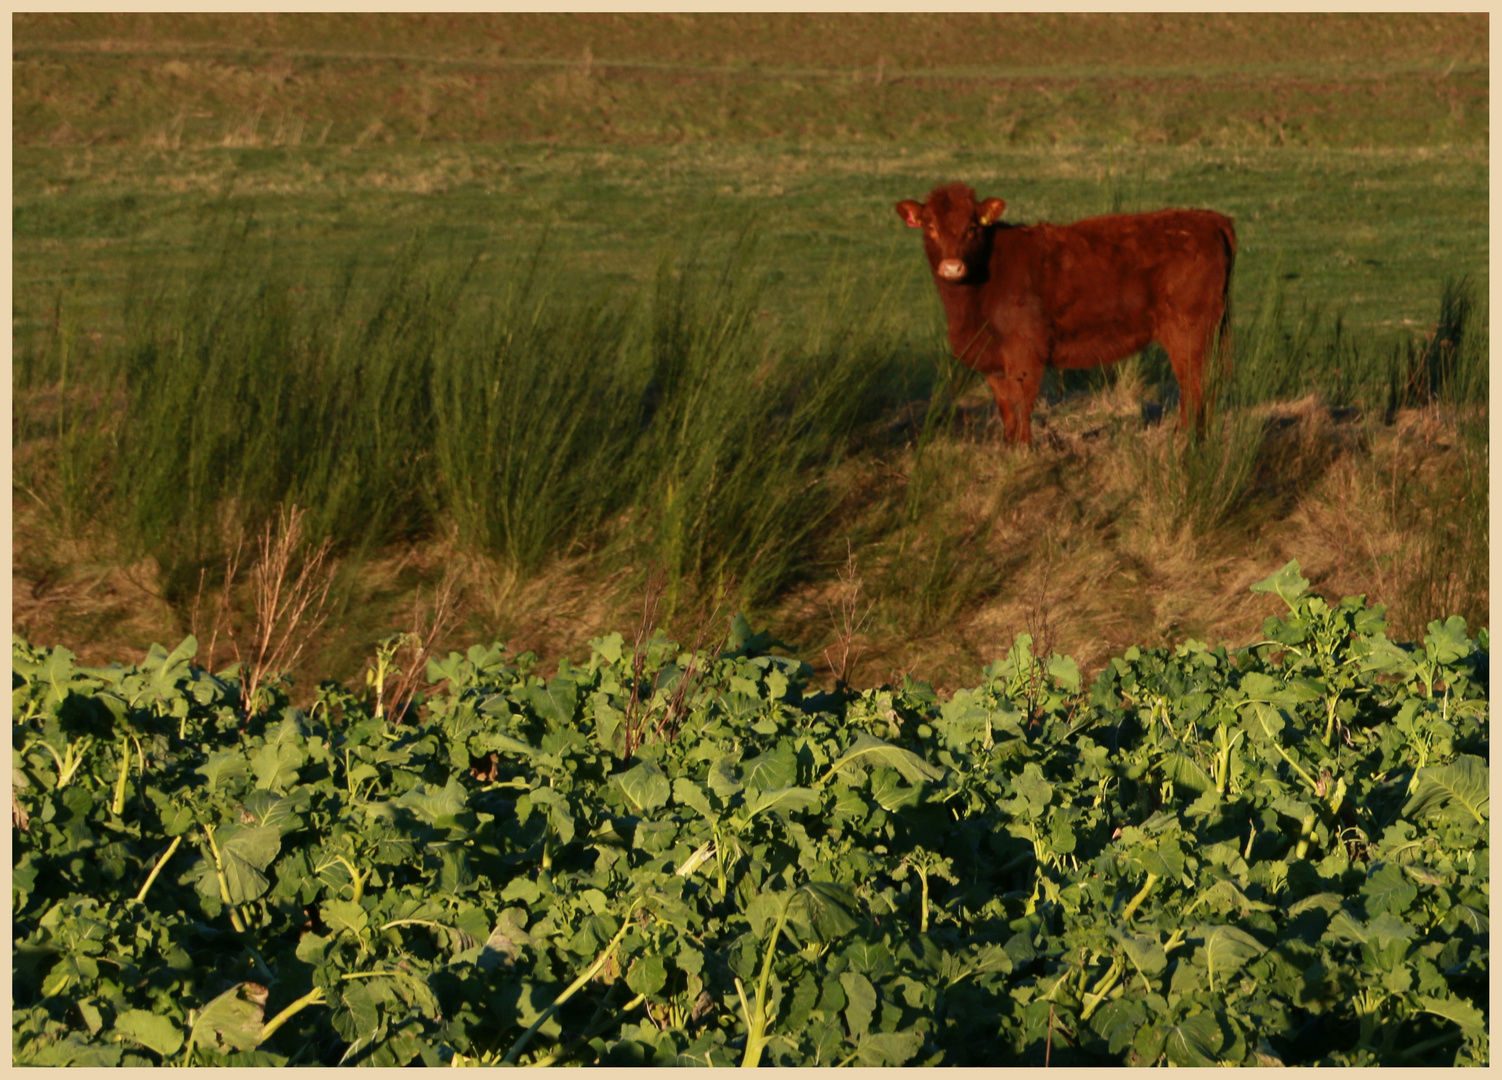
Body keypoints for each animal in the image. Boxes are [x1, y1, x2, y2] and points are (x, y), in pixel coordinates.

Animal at [895, 184, 1237, 444]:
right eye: (930, 227)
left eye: (971, 228)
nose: (952, 267)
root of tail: (1210, 218)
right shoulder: (991, 358)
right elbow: (1005, 407)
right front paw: (1008, 450)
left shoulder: (1023, 350)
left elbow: (1021, 404)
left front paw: (1023, 453)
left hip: (1188, 330)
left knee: (1194, 384)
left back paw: (1184, 439)